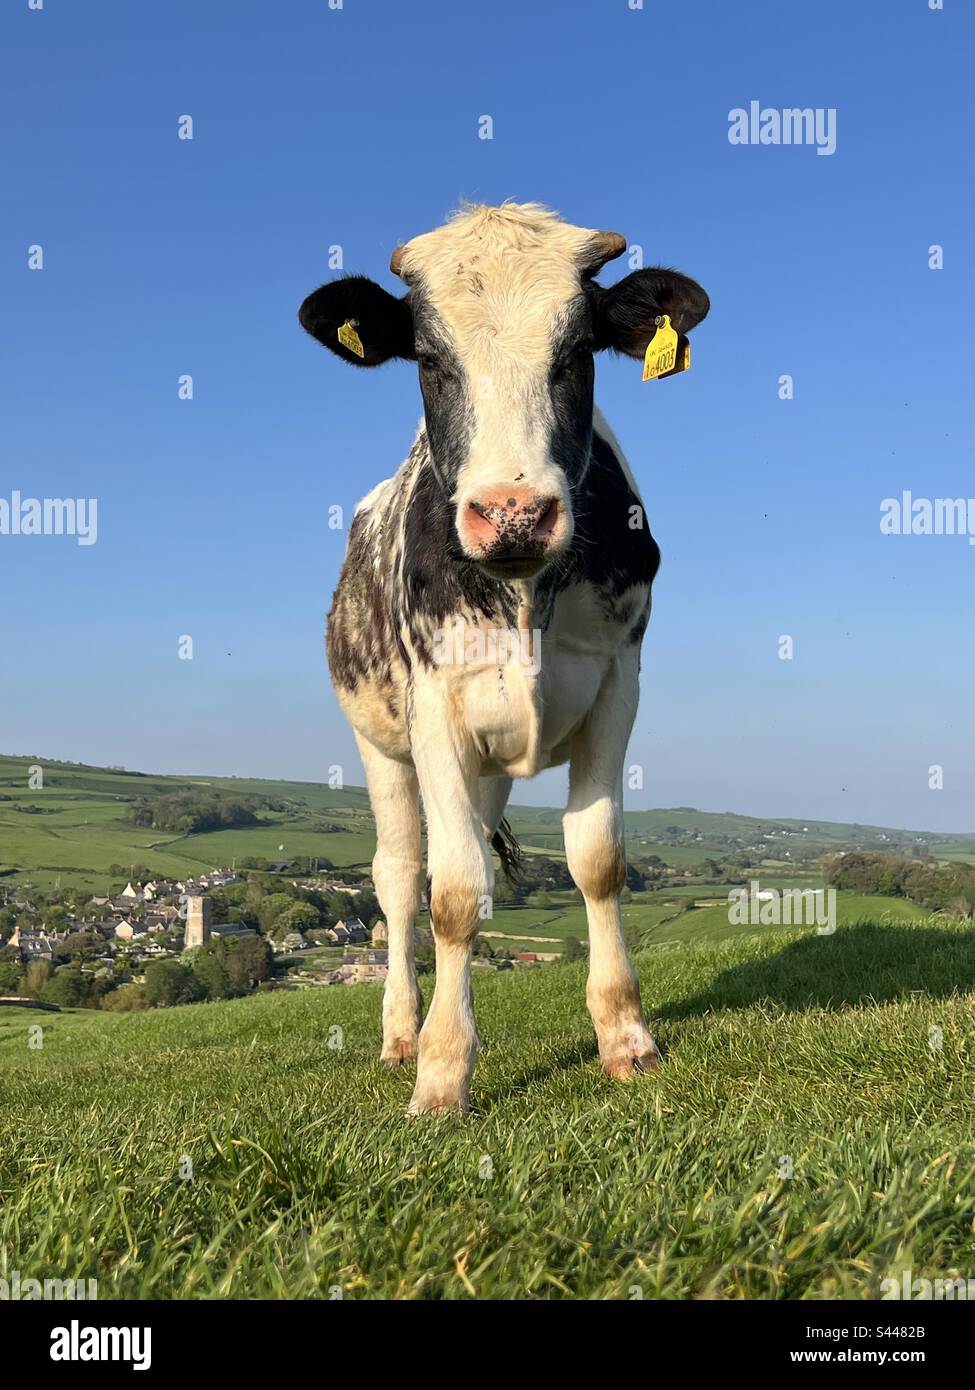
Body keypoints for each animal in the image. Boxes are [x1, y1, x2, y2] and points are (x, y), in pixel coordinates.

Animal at [296, 201, 706, 1112]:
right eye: (430, 360)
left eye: (577, 351)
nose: (513, 513)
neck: (524, 599)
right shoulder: (431, 708)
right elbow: (449, 896)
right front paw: (443, 1071)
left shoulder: (617, 683)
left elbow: (596, 862)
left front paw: (625, 1037)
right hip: (378, 745)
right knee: (400, 876)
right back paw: (401, 1034)